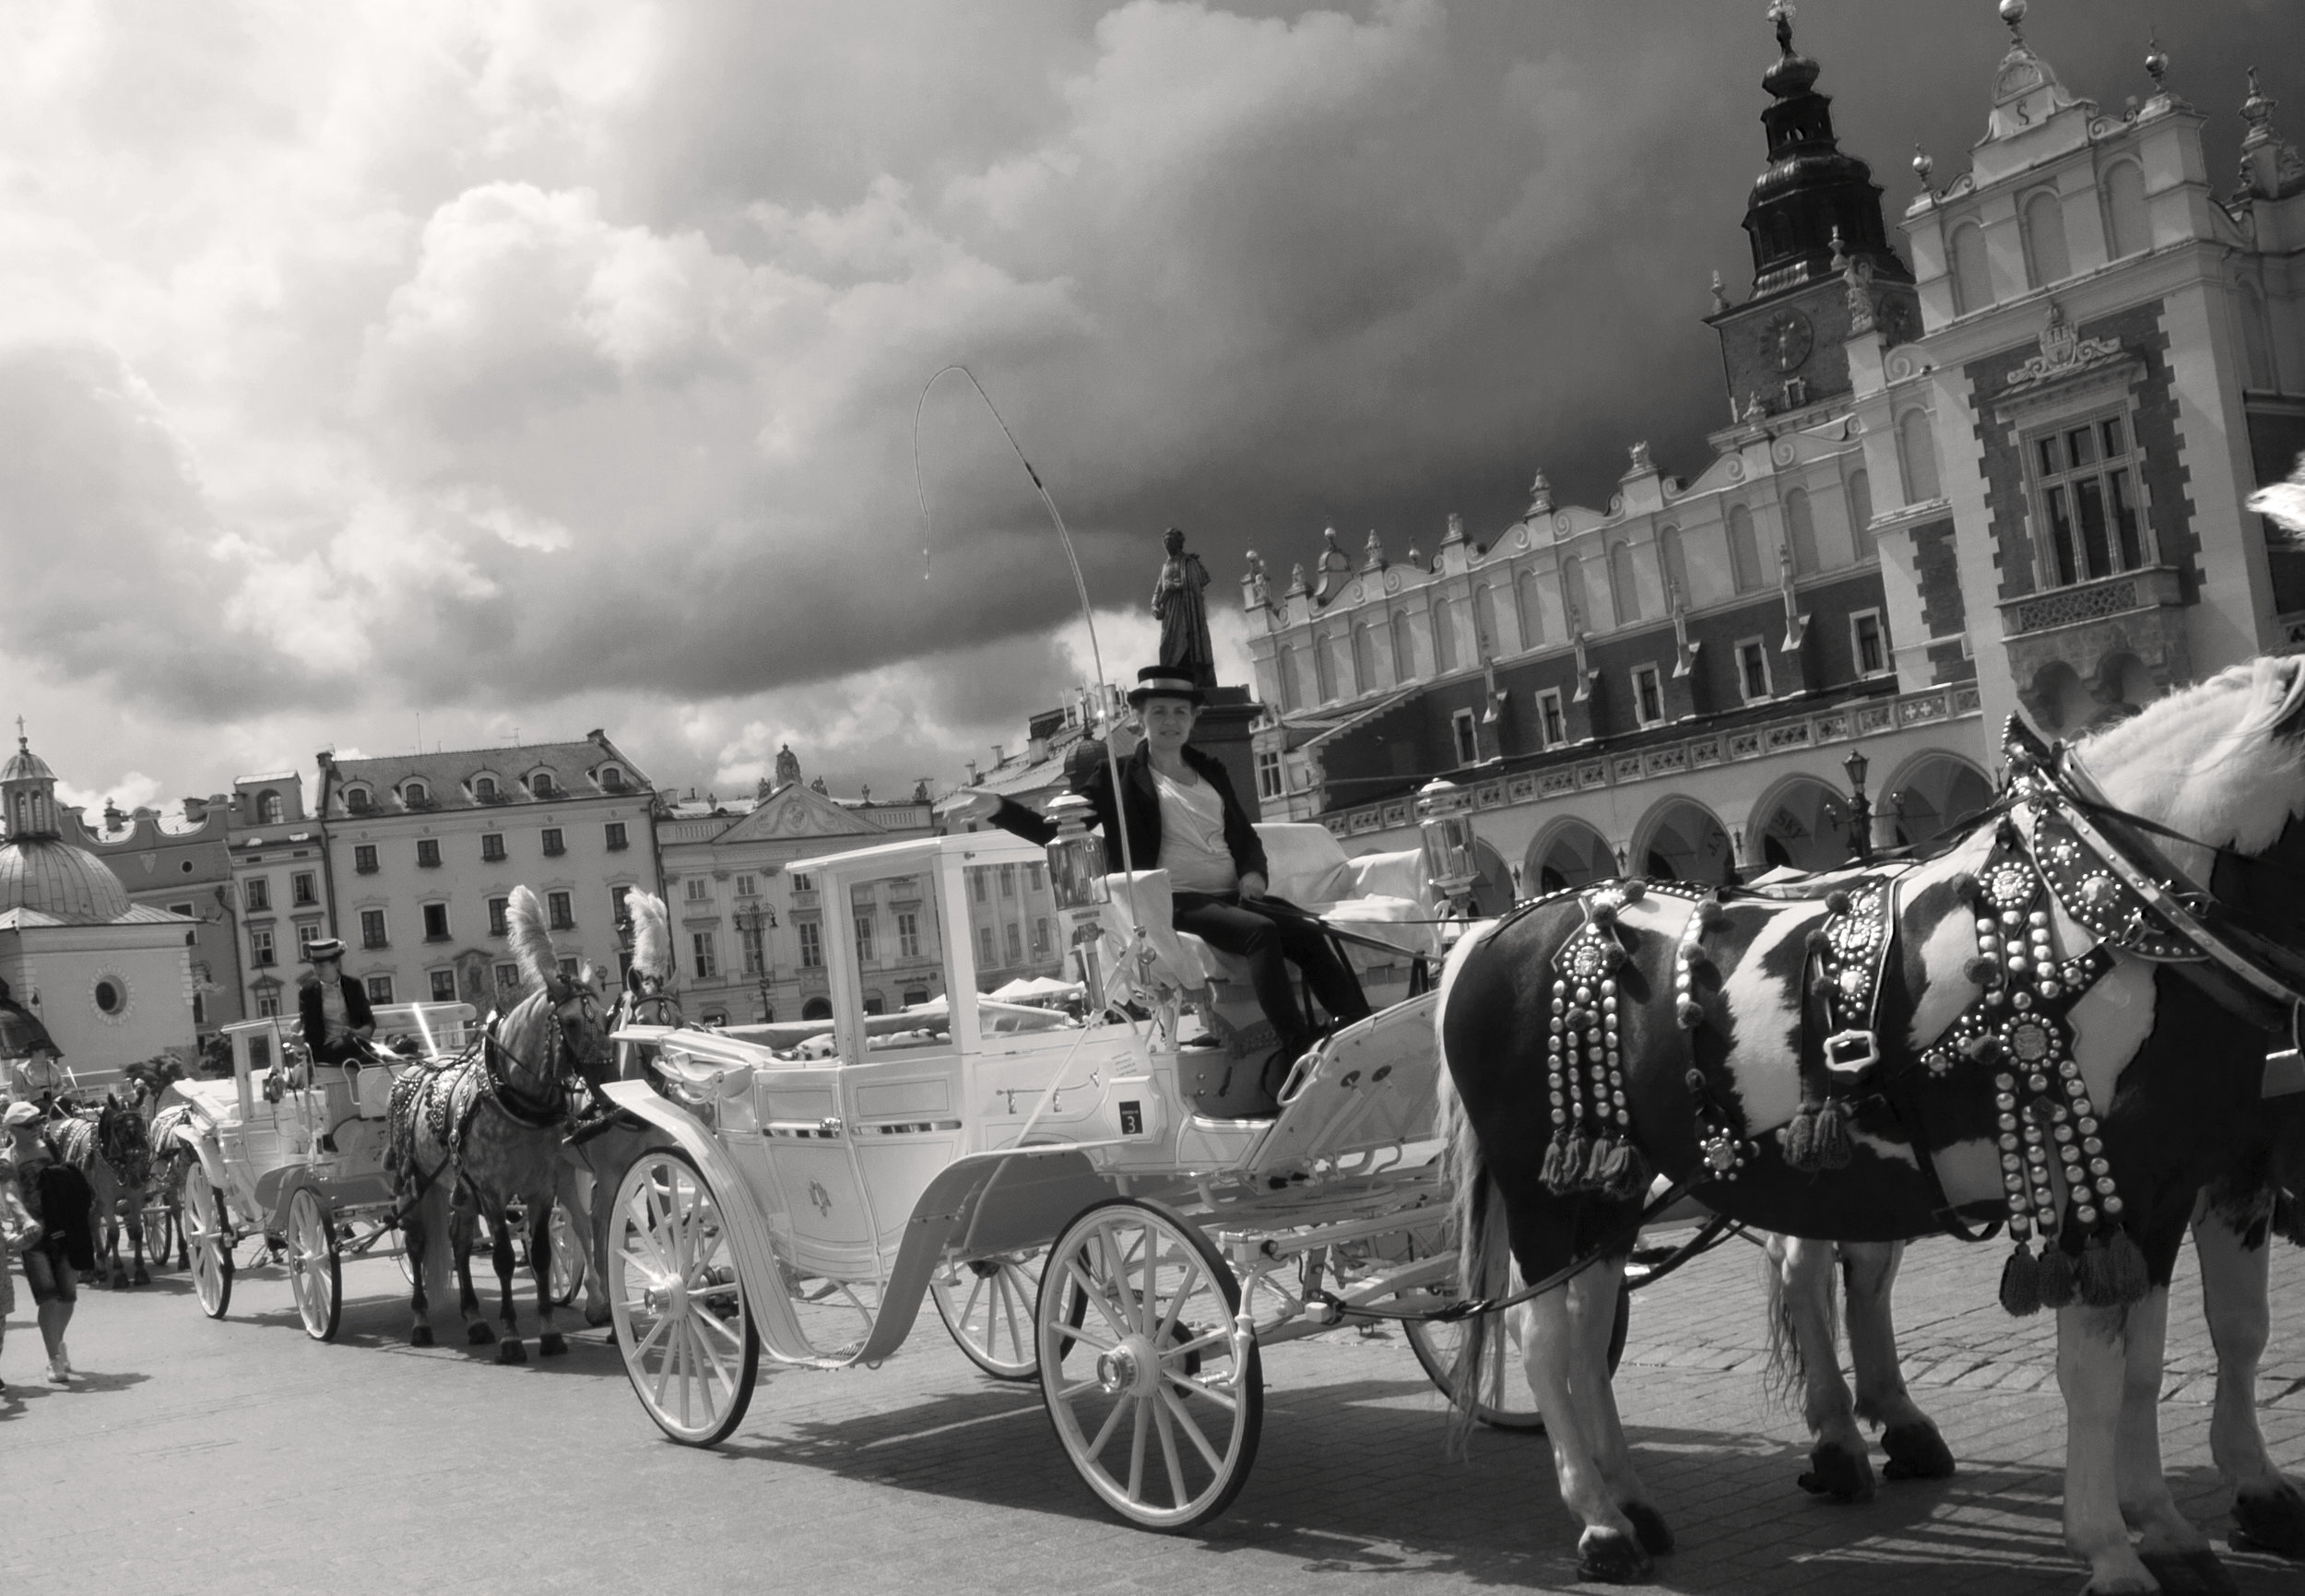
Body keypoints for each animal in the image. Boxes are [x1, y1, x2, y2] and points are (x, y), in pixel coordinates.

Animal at [1438, 655, 2305, 1586]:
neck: (2127, 910)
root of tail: (1493, 931)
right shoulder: (2102, 1180)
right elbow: (2095, 1368)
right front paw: (2110, 1544)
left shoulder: (2200, 1173)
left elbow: (2190, 1344)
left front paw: (2192, 1517)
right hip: (1540, 1190)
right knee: (1541, 1337)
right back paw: (1602, 1524)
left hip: (1610, 1189)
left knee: (1596, 1323)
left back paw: (1636, 1496)